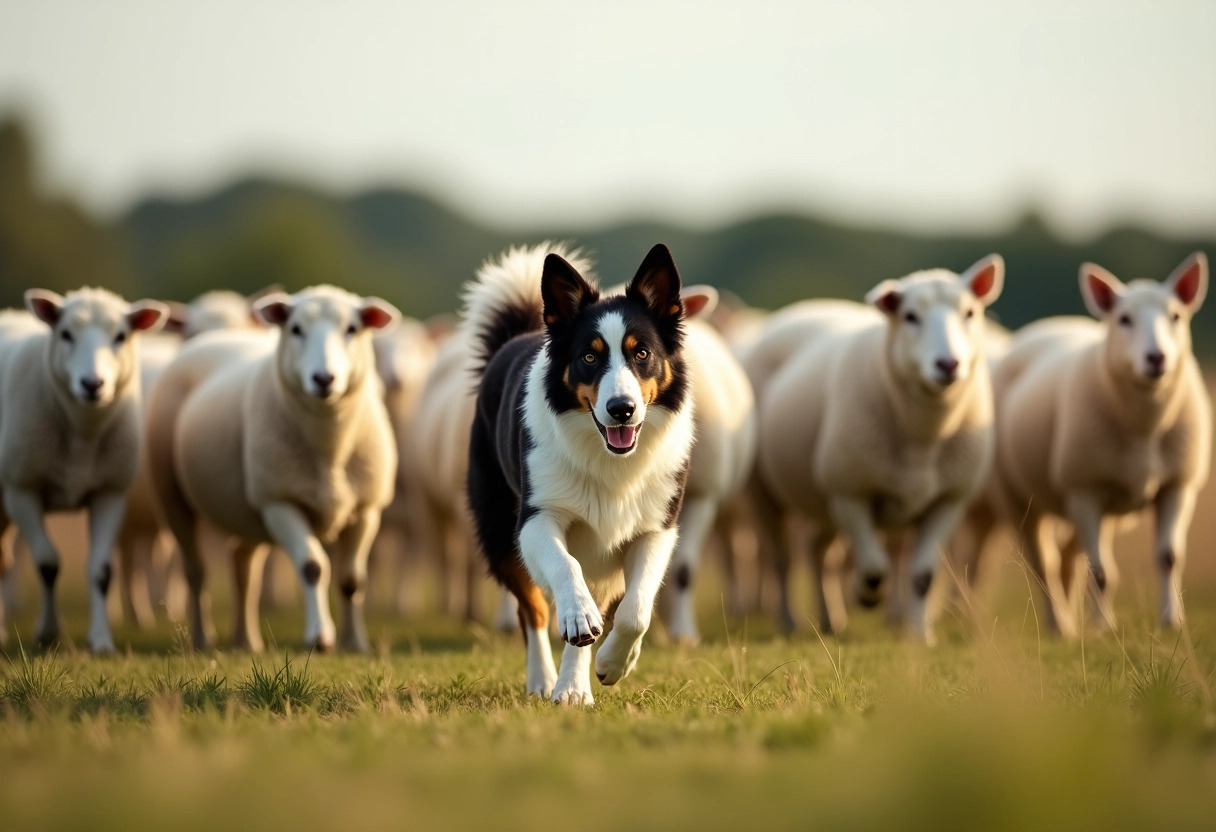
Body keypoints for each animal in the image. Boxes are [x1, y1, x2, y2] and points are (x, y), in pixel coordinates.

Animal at [0, 289, 169, 651]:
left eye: (121, 336)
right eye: (65, 334)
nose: (92, 384)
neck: (81, 436)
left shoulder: (111, 493)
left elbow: (101, 571)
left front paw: (102, 641)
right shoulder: (22, 490)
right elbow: (48, 562)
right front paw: (49, 633)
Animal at [144, 285, 396, 651]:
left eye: (352, 329)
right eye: (295, 329)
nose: (324, 379)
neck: (329, 448)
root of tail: (214, 338)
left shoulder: (366, 510)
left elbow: (351, 579)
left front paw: (355, 643)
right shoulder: (280, 503)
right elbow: (313, 567)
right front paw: (320, 637)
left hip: (247, 510)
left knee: (242, 564)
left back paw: (246, 640)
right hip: (172, 493)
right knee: (196, 570)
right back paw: (203, 638)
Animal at [749, 255, 1006, 642]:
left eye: (970, 313)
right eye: (910, 316)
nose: (948, 365)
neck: (923, 437)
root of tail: (806, 307)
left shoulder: (948, 501)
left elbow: (922, 575)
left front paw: (920, 634)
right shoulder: (850, 494)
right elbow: (874, 567)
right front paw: (866, 595)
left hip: (820, 501)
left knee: (818, 551)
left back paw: (830, 620)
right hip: (765, 492)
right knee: (783, 558)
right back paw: (789, 620)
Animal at [982, 253, 1211, 637]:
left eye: (1176, 316)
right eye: (1124, 319)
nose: (1156, 358)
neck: (1144, 427)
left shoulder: (1177, 485)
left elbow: (1168, 558)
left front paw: (1171, 622)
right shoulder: (1085, 491)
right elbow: (1102, 573)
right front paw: (1105, 627)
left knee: (1068, 561)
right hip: (1020, 499)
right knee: (1043, 564)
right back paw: (1060, 625)